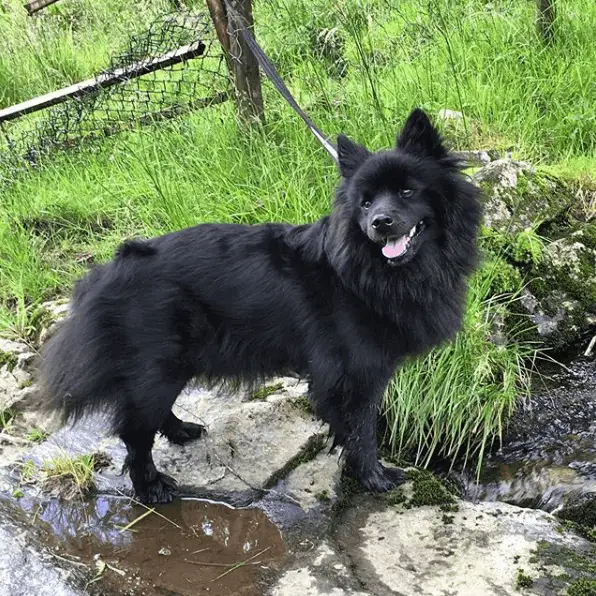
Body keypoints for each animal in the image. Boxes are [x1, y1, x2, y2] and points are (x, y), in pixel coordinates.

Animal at [39, 108, 482, 502]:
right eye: (366, 203)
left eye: (407, 191)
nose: (379, 223)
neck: (372, 271)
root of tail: (107, 271)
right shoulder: (355, 375)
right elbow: (362, 431)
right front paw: (375, 477)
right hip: (157, 363)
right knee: (135, 433)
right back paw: (152, 488)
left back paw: (181, 431)